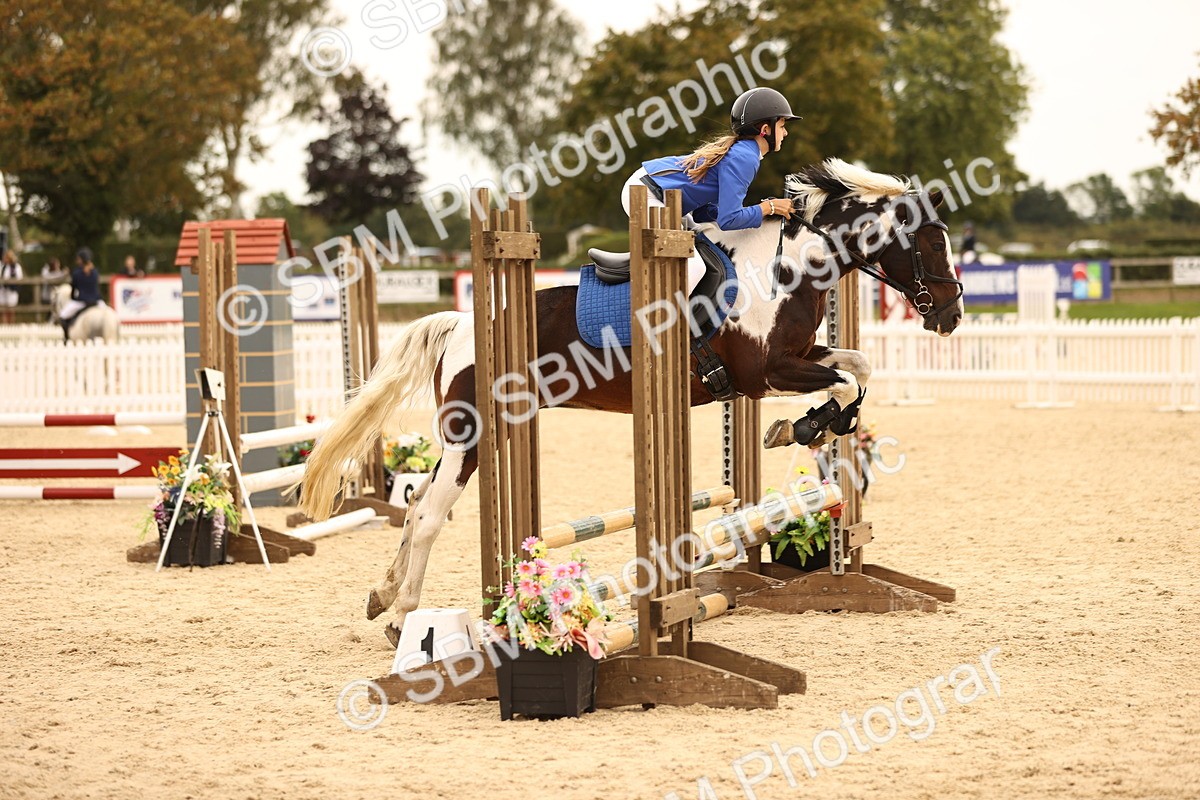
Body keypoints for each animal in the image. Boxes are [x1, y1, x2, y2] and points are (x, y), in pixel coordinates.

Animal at [298, 158, 965, 644]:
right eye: (933, 243)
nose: (953, 314)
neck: (794, 266)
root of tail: (463, 323)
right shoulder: (764, 374)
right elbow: (844, 382)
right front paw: (804, 427)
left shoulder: (799, 358)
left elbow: (858, 369)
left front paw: (814, 426)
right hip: (474, 431)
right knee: (432, 512)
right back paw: (401, 617)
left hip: (478, 433)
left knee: (416, 504)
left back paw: (385, 595)